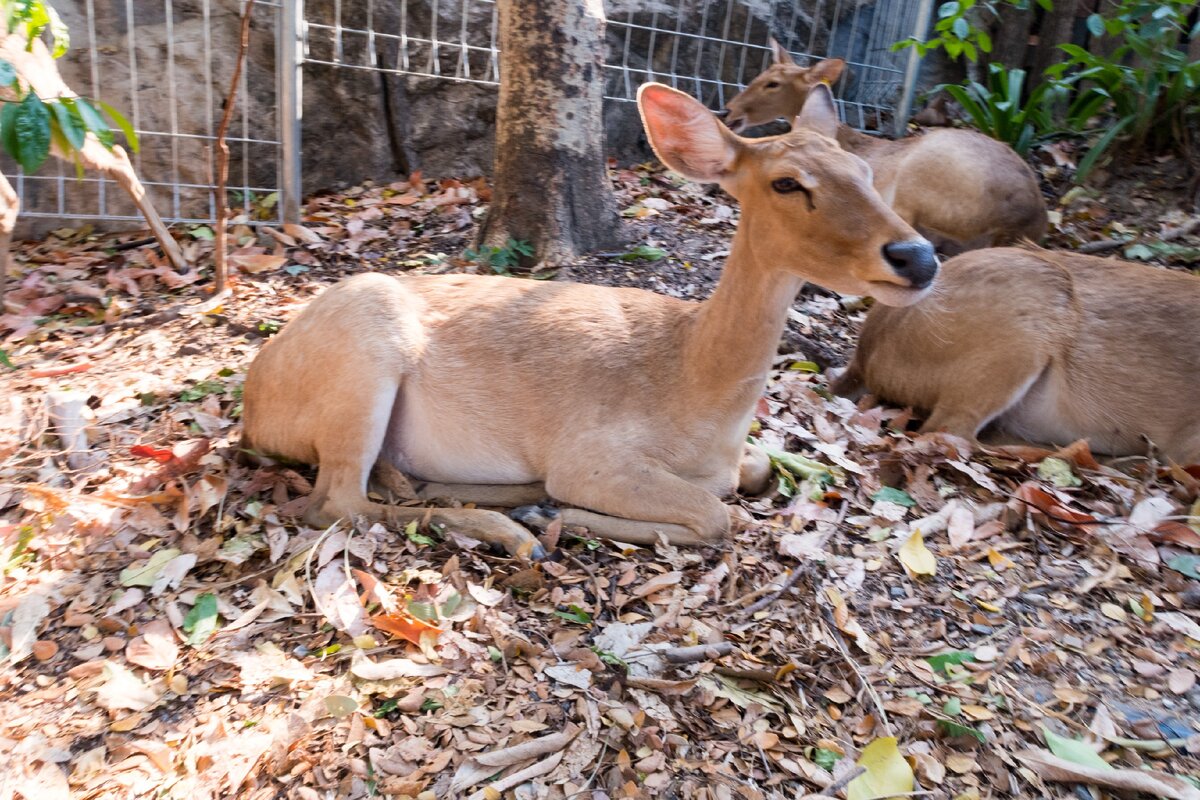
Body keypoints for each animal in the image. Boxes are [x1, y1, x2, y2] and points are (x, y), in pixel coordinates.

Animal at [241, 82, 936, 556]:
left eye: (866, 170)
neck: (699, 397)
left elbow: (757, 474)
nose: (917, 256)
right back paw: (513, 530)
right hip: (362, 354)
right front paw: (563, 517)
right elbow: (717, 516)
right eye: (787, 182)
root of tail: (253, 405)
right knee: (332, 502)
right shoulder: (592, 451)